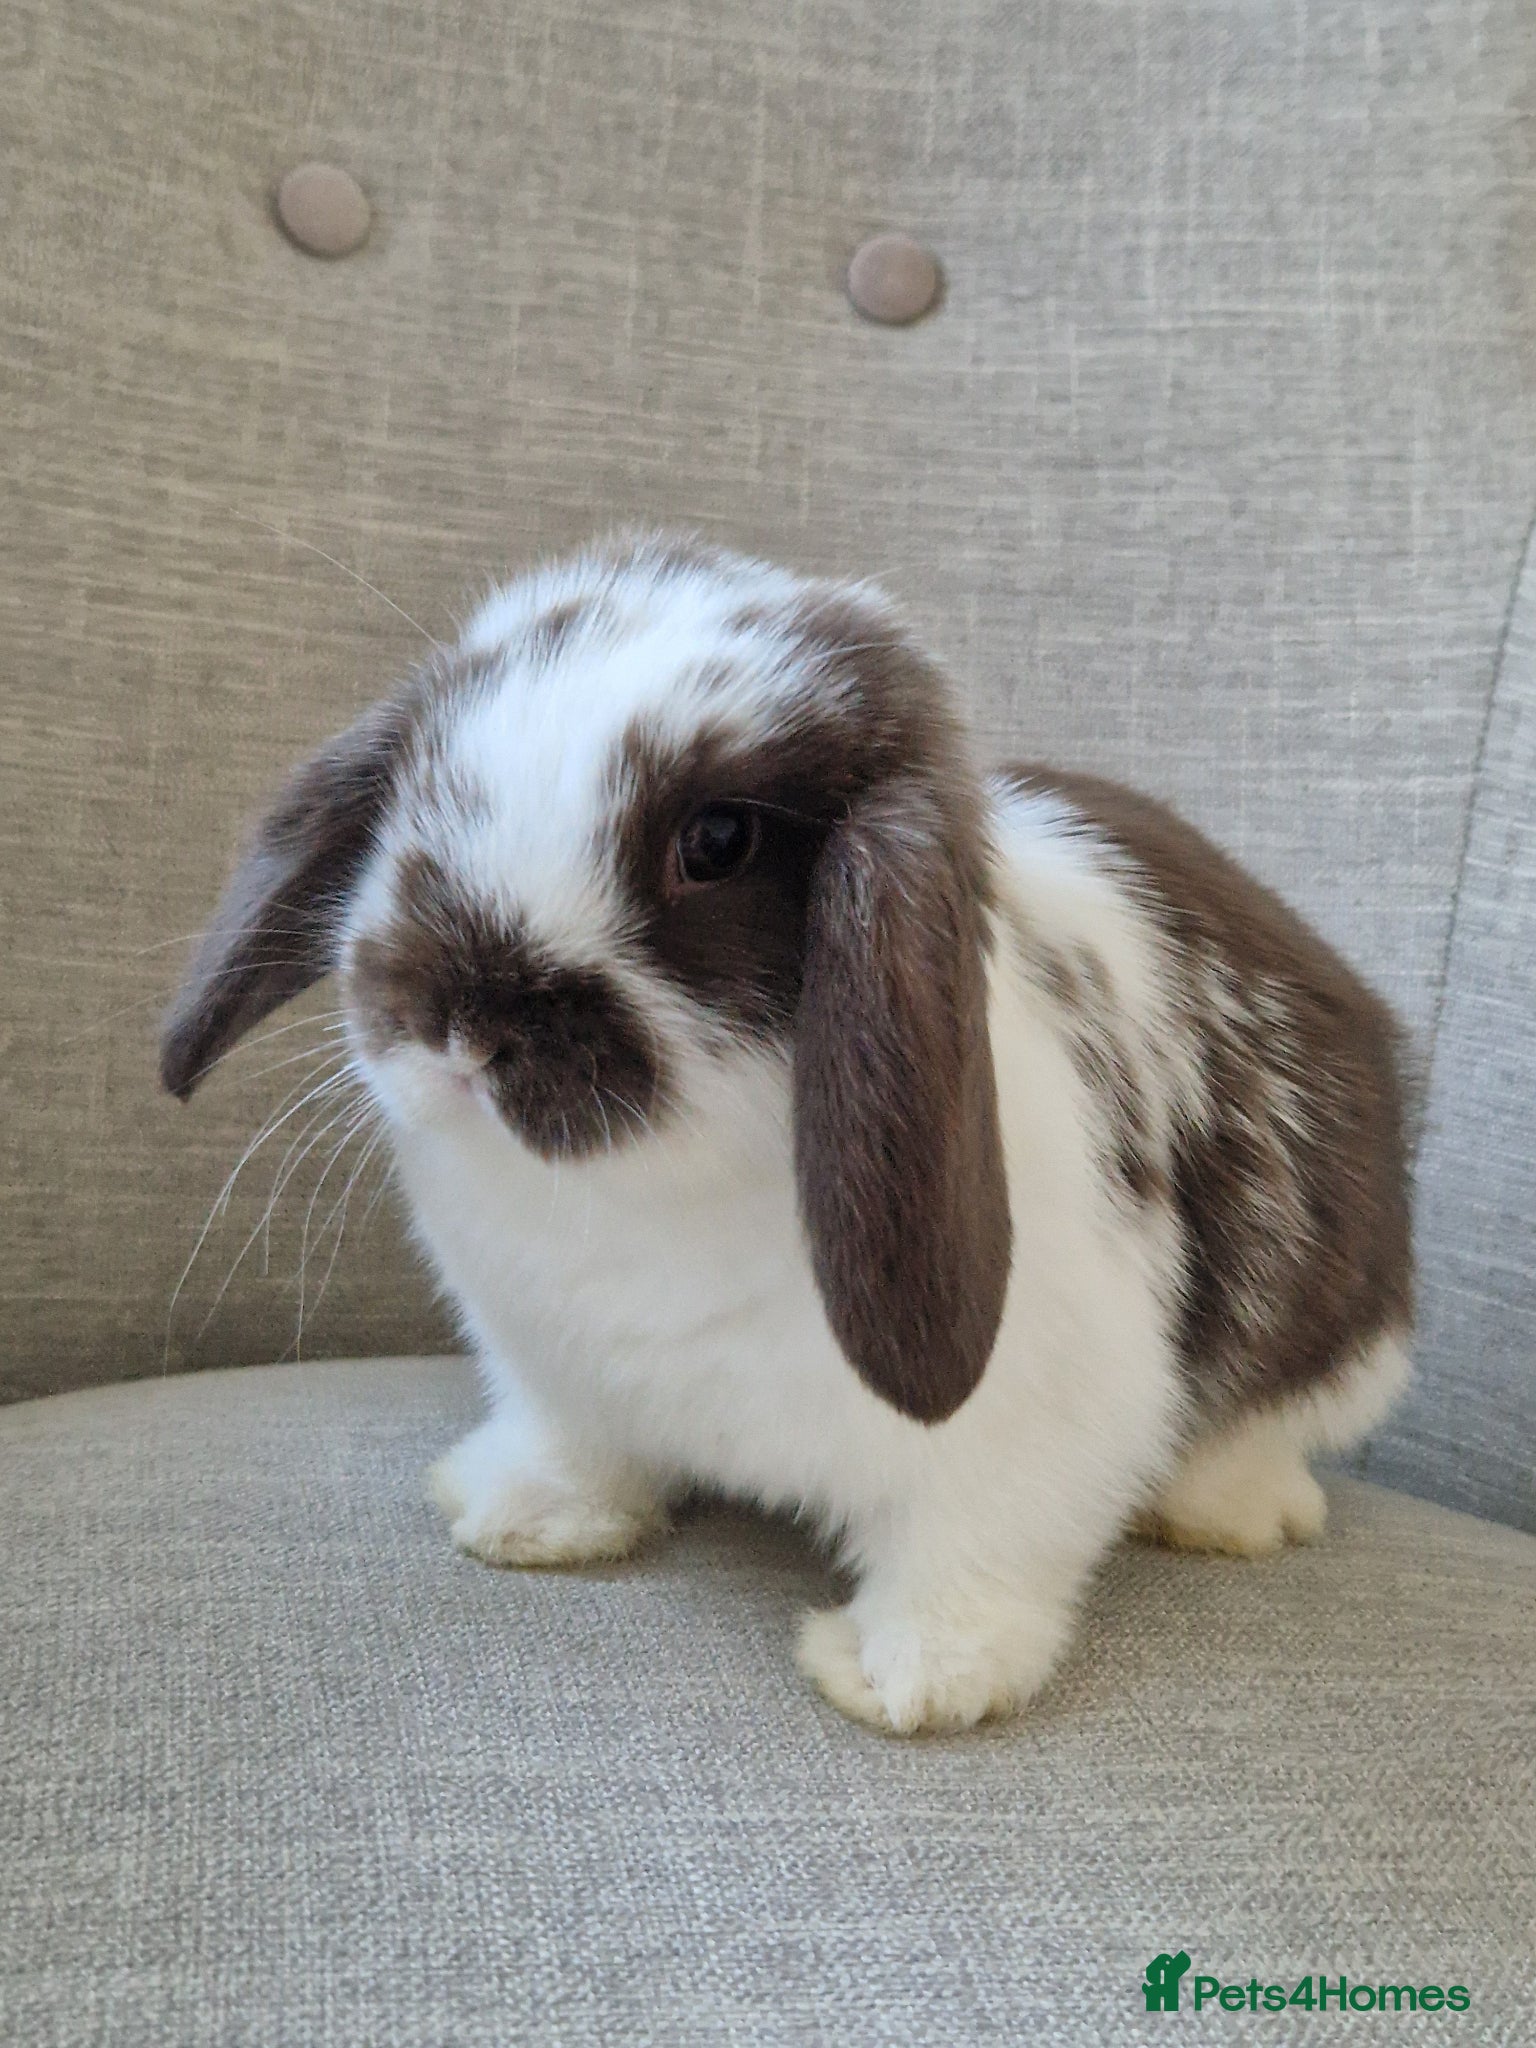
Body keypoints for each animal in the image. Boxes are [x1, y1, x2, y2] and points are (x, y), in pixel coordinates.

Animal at [162, 532, 1413, 1734]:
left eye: (716, 841)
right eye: (423, 778)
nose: (460, 1017)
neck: (659, 1188)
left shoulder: (1035, 1421)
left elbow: (973, 1552)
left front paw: (912, 1681)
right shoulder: (551, 1366)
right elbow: (577, 1445)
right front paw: (523, 1515)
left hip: (1341, 1331)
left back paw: (1228, 1512)